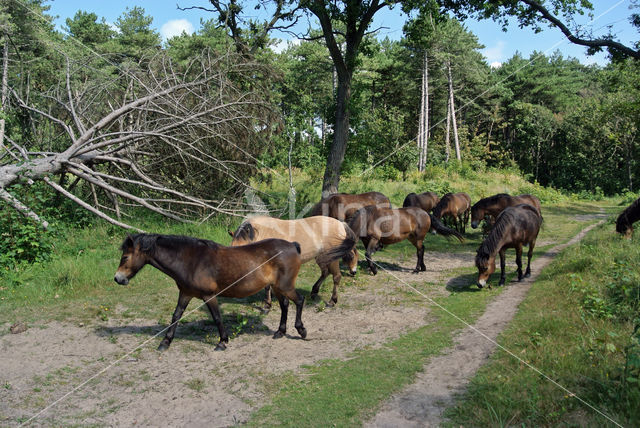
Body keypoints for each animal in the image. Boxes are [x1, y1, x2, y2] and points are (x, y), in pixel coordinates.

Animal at [114, 234, 308, 352]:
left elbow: (217, 317)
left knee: (299, 300)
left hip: (285, 286)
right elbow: (176, 316)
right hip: (277, 287)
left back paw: (301, 330)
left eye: (125, 257)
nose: (118, 278)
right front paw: (165, 342)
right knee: (285, 305)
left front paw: (222, 342)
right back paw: (280, 332)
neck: (191, 261)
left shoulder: (209, 296)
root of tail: (292, 245)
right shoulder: (185, 293)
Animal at [231, 216, 360, 306]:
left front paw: (268, 303)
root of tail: (341, 224)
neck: (263, 233)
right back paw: (314, 291)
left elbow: (267, 286)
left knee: (336, 277)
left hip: (332, 259)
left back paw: (332, 301)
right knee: (325, 272)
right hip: (322, 257)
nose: (354, 271)